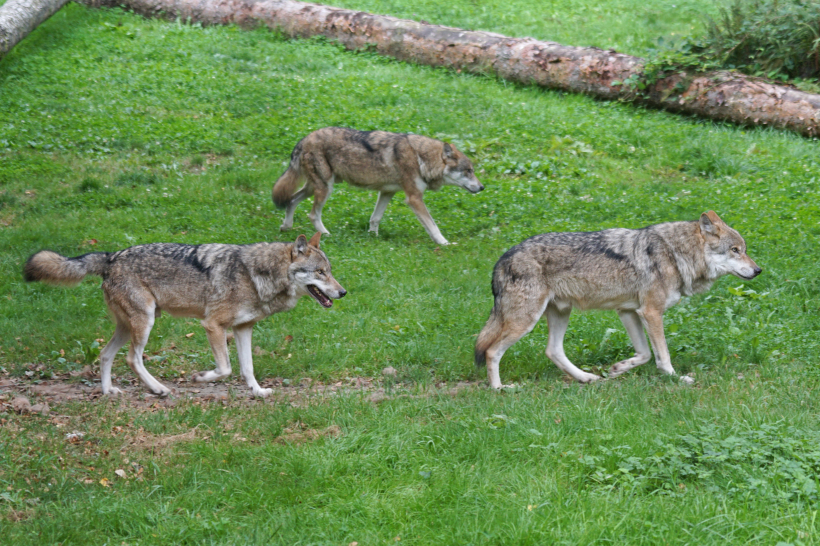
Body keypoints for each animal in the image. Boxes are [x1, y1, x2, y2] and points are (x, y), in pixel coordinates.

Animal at [24, 232, 346, 398]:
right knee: (132, 359)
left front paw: (257, 392)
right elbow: (225, 368)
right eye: (320, 272)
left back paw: (109, 392)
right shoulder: (213, 325)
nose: (343, 292)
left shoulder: (244, 329)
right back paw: (158, 389)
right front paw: (200, 378)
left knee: (105, 355)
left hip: (129, 326)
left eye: (329, 271)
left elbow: (247, 368)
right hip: (145, 323)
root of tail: (111, 256)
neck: (256, 275)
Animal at [272, 126, 484, 243]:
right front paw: (444, 243)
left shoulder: (387, 192)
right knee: (312, 214)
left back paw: (286, 227)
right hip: (325, 188)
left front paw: (372, 236)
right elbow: (433, 226)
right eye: (468, 171)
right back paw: (325, 234)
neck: (421, 158)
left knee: (291, 200)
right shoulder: (414, 199)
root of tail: (303, 139)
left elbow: (375, 218)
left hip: (314, 187)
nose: (482, 188)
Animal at [474, 210, 764, 384]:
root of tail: (503, 257)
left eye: (744, 249)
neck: (675, 254)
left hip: (559, 313)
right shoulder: (650, 312)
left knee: (553, 350)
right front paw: (676, 378)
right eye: (735, 250)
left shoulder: (628, 312)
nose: (758, 270)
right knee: (491, 351)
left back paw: (586, 378)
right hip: (525, 321)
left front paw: (619, 368)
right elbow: (663, 356)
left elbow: (645, 354)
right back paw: (499, 388)